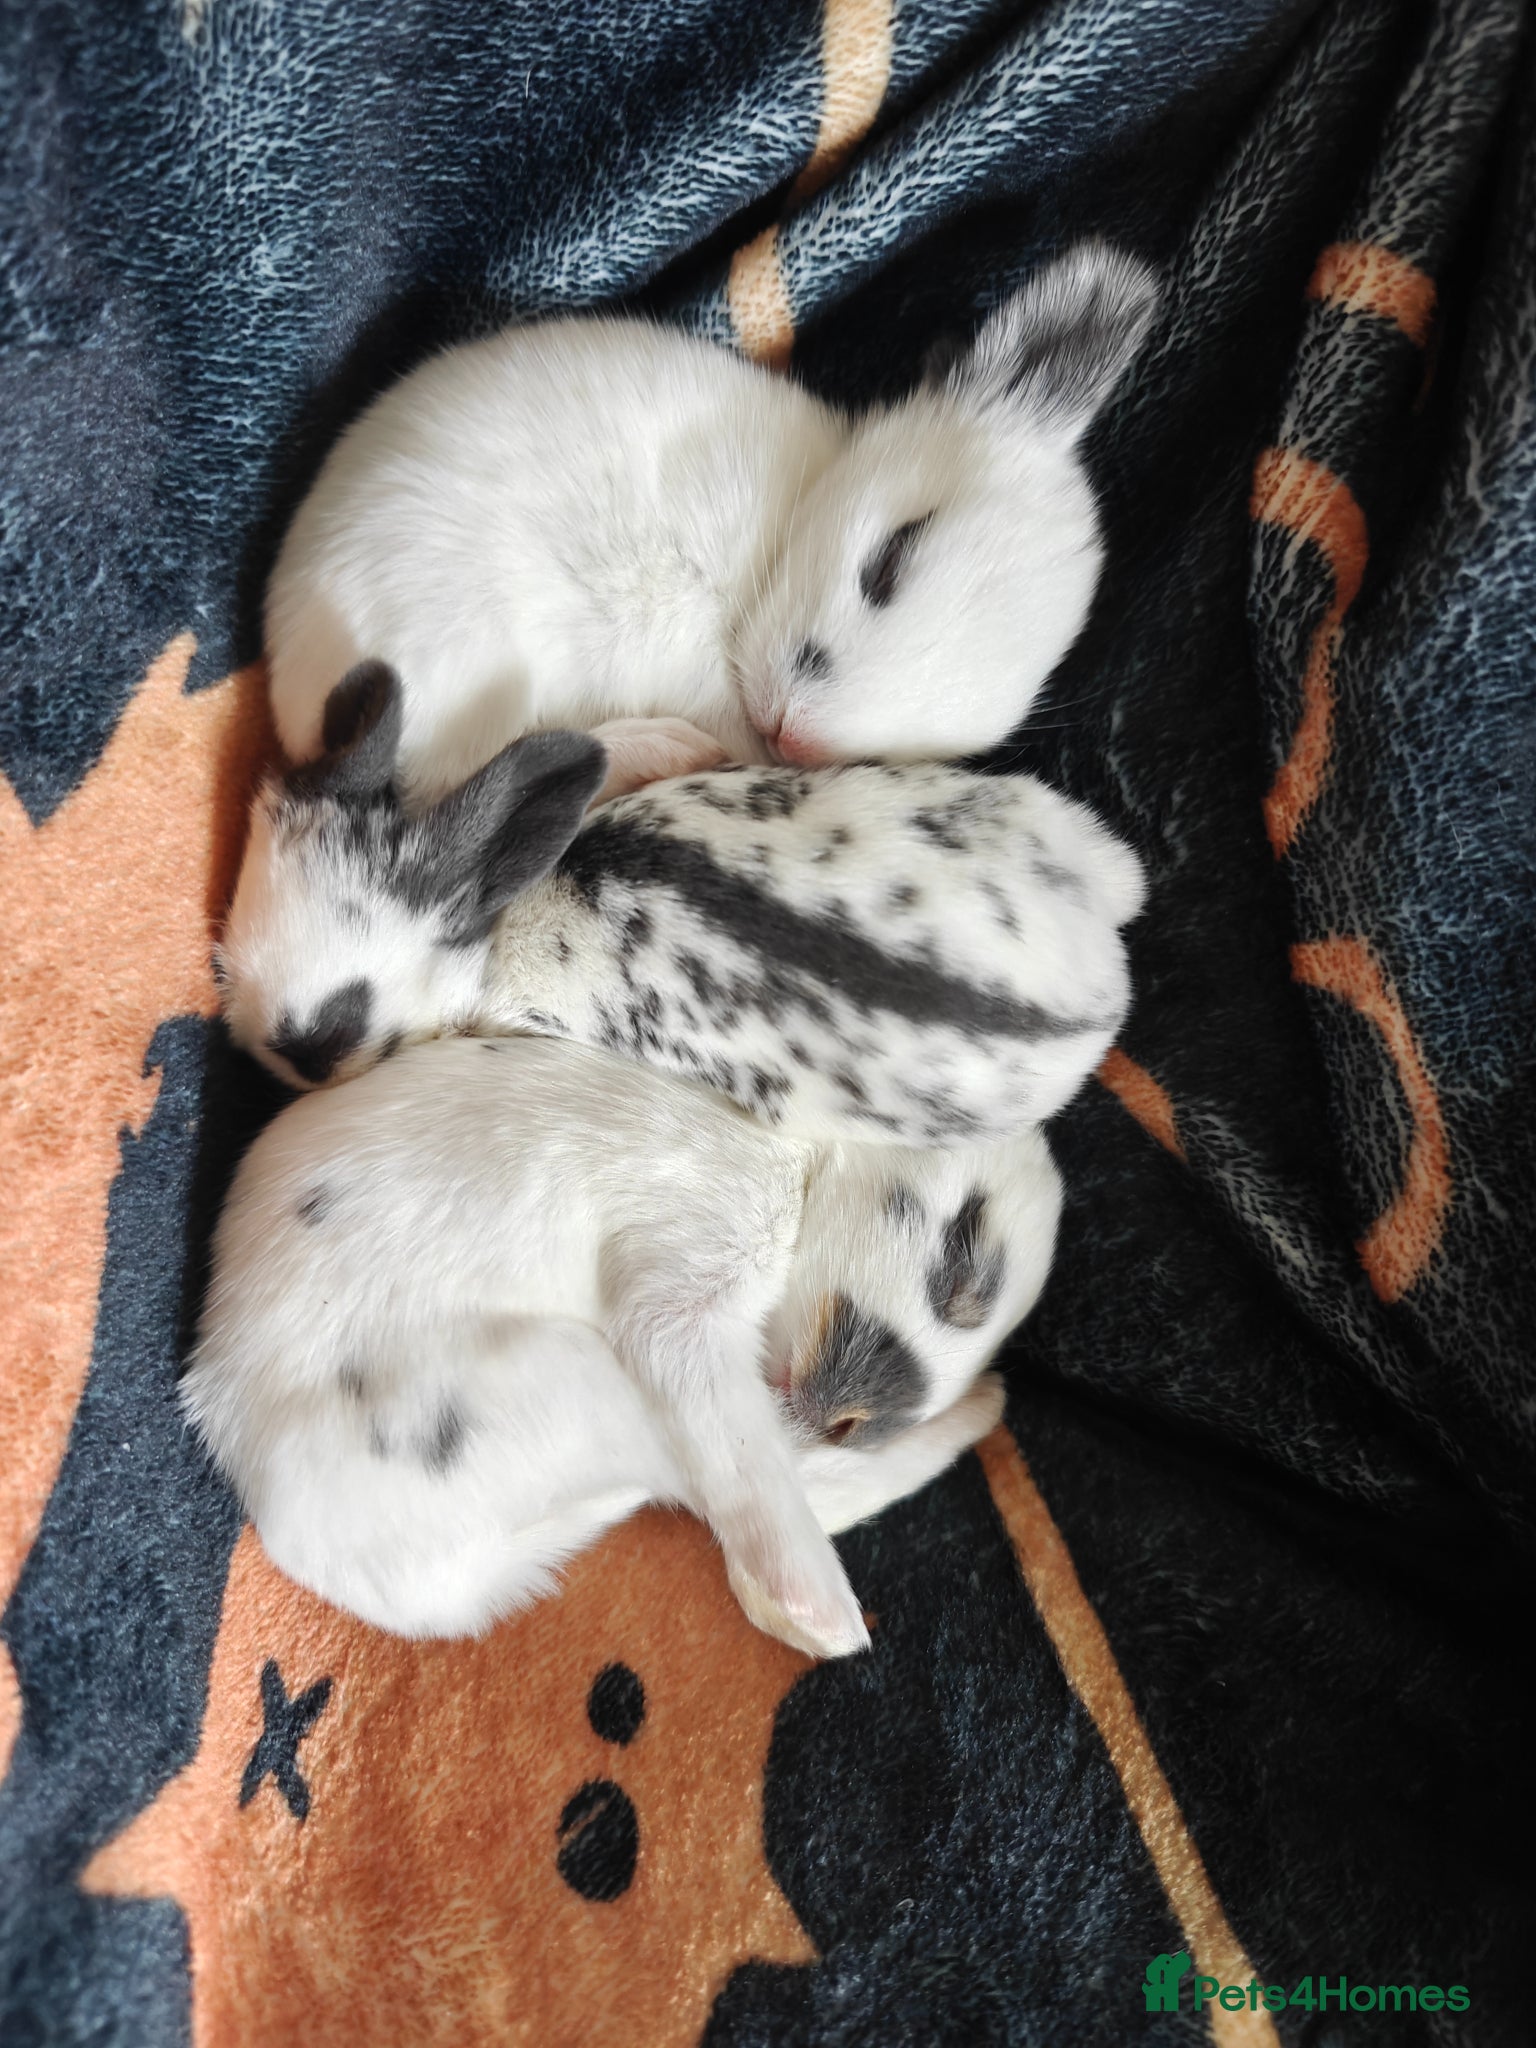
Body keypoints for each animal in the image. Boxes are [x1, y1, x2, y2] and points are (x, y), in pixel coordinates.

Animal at [182, 1033, 1063, 1658]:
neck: (807, 1162)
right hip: (581, 1382)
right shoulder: (684, 1295)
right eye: (963, 1266)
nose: (850, 1422)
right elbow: (753, 1468)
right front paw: (824, 1616)